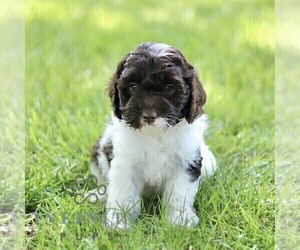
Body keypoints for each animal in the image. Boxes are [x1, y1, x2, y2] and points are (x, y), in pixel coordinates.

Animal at [91, 42, 216, 229]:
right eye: (133, 86)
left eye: (169, 88)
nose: (149, 116)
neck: (155, 135)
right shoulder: (125, 163)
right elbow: (124, 194)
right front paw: (120, 221)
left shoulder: (186, 162)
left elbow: (179, 193)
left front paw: (180, 220)